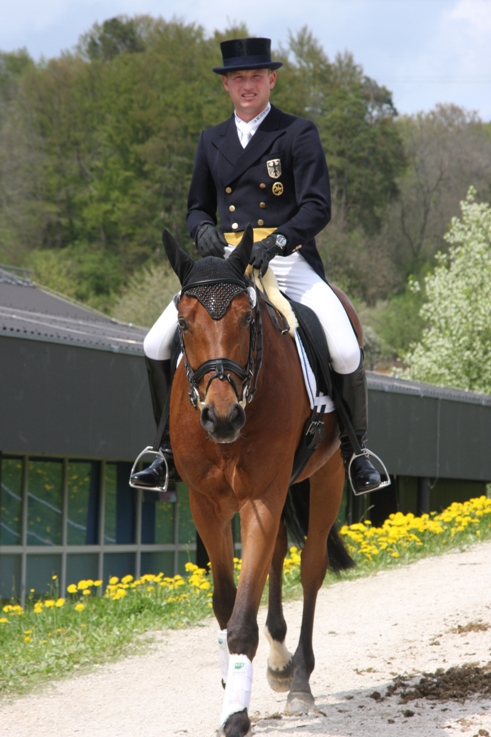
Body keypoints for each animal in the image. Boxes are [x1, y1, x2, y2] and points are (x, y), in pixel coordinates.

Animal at [163, 227, 356, 732]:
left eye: (247, 318)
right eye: (184, 324)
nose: (222, 418)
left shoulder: (261, 499)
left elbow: (241, 620)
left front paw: (235, 714)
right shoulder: (206, 505)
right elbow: (225, 603)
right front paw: (232, 684)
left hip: (327, 475)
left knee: (310, 568)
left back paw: (300, 681)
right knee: (277, 556)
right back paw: (278, 661)